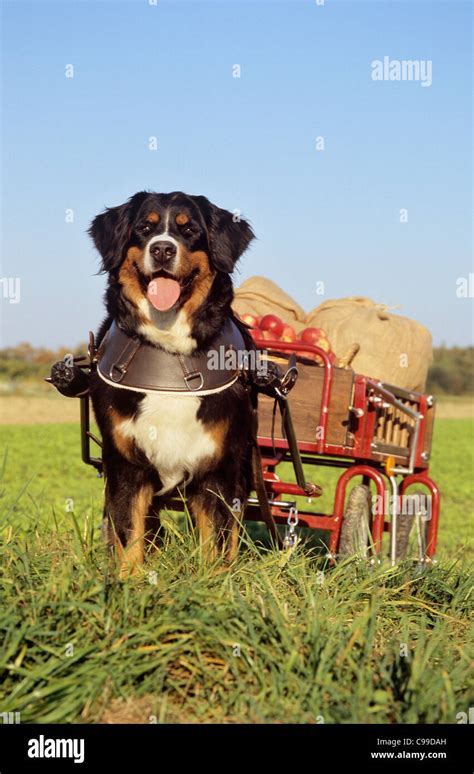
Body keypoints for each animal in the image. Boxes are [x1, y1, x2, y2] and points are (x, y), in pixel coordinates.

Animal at [53, 194, 258, 580]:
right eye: (144, 228)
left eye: (188, 229)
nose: (162, 249)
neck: (170, 351)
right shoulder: (124, 464)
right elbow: (127, 530)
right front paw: (129, 583)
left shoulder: (219, 468)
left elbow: (217, 538)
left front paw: (212, 584)